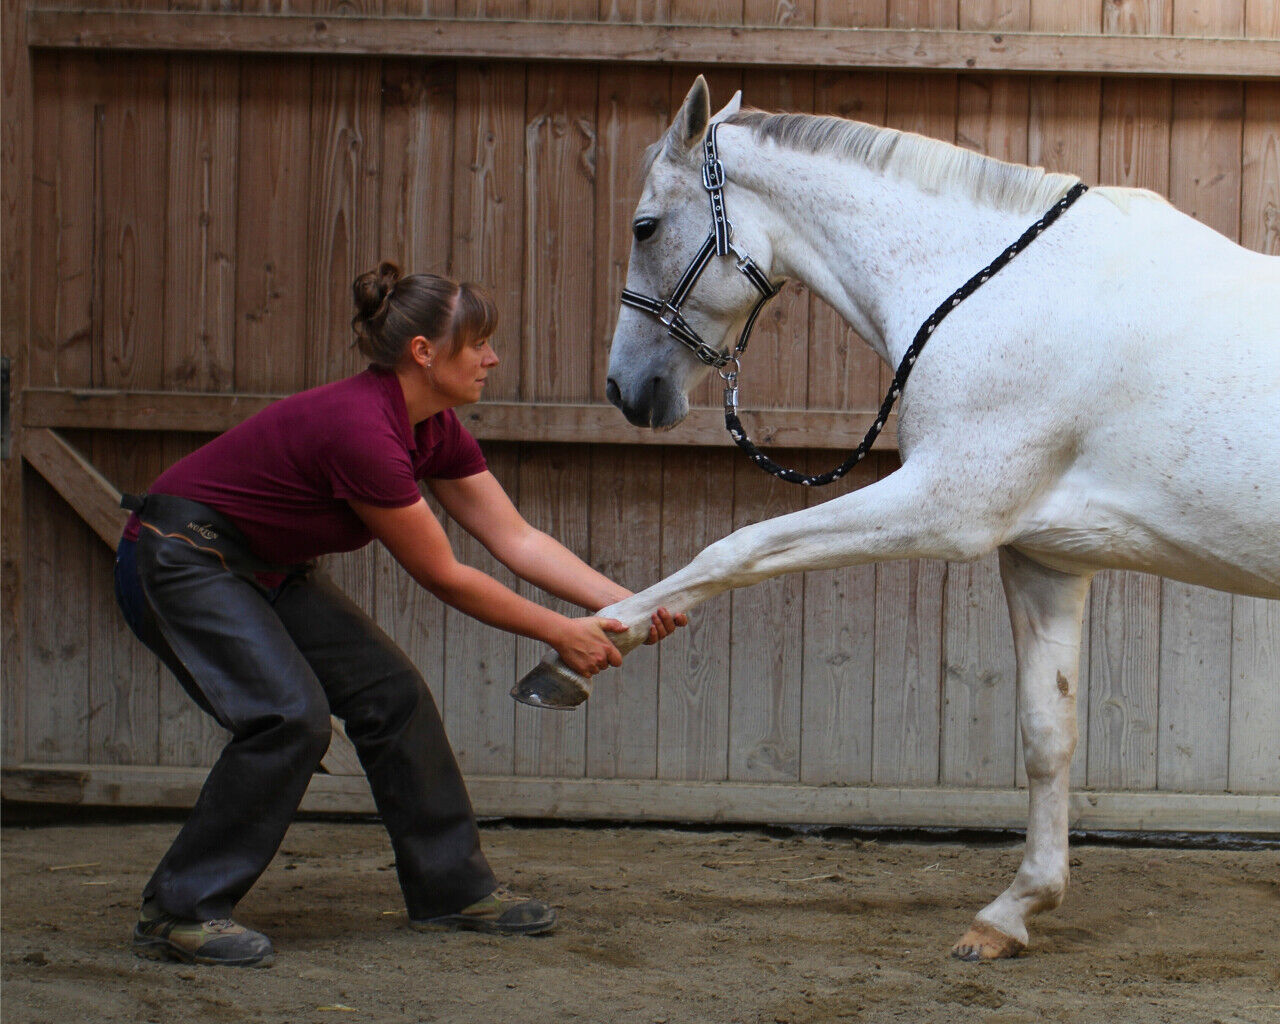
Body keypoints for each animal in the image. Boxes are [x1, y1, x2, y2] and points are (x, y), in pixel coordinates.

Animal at [512, 73, 1280, 962]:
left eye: (645, 225)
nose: (627, 389)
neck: (1001, 289)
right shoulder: (1046, 558)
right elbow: (1048, 733)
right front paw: (1013, 911)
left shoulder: (944, 505)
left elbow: (736, 549)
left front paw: (577, 654)